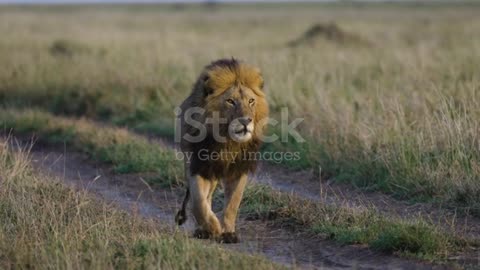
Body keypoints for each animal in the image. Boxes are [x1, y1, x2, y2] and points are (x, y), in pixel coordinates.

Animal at [174, 58, 268, 244]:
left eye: (251, 101)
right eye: (230, 101)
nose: (246, 121)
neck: (228, 141)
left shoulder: (239, 170)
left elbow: (233, 203)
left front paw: (228, 233)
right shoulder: (199, 166)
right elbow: (198, 201)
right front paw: (212, 227)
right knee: (203, 197)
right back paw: (203, 230)